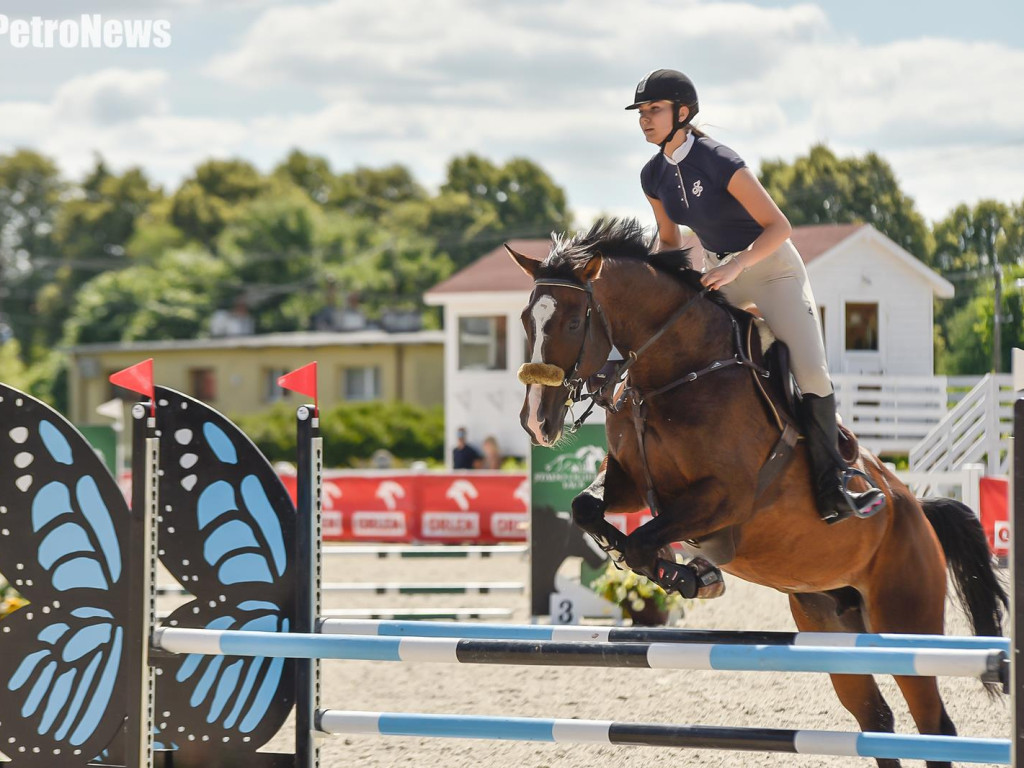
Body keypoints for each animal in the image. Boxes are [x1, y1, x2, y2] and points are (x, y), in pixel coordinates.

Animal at [507, 217, 1003, 768]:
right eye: (526, 320)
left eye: (574, 323)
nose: (537, 423)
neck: (673, 372)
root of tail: (916, 511)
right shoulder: (631, 484)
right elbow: (587, 509)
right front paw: (682, 570)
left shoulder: (726, 497)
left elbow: (640, 541)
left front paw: (689, 575)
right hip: (830, 622)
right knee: (876, 720)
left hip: (903, 622)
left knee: (934, 726)